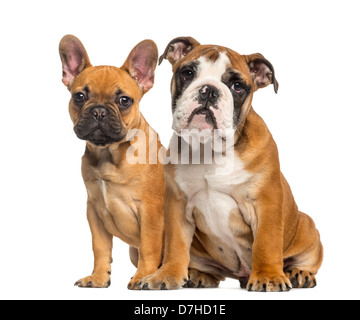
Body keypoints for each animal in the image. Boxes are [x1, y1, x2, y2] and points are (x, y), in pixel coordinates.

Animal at [139, 37, 324, 292]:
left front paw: (268, 276)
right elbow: (175, 246)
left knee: (305, 259)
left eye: (237, 86)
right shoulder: (176, 204)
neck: (210, 149)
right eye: (188, 73)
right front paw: (166, 275)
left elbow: (266, 243)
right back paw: (199, 275)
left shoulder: (265, 203)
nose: (209, 90)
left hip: (307, 228)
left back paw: (298, 273)